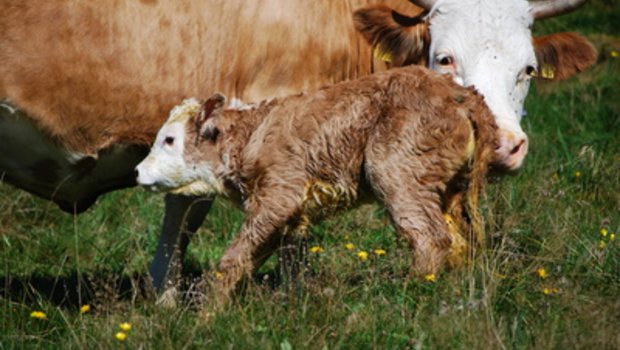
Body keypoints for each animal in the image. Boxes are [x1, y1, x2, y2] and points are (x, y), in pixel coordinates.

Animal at [133, 65, 502, 306]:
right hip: (449, 187)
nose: (137, 171)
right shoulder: (290, 214)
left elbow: (234, 256)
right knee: (461, 239)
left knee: (430, 237)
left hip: (398, 174)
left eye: (169, 139)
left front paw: (208, 311)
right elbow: (273, 260)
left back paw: (409, 291)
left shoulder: (279, 193)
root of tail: (461, 94)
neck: (250, 137)